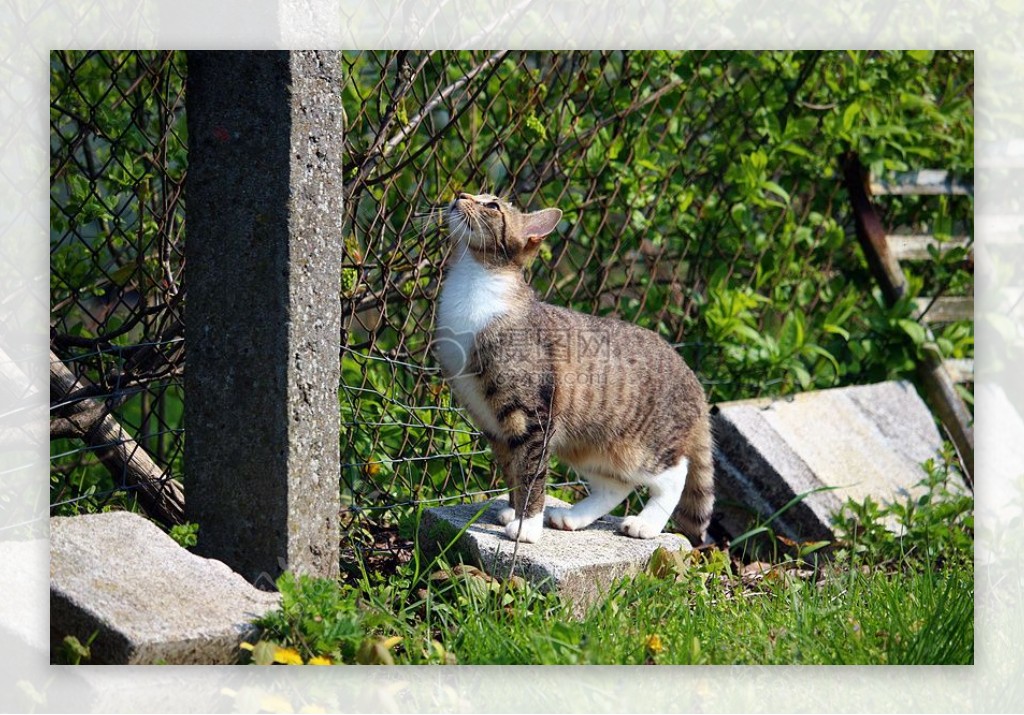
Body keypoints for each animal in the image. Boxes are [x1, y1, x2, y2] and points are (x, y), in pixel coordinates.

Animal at [432, 192, 712, 544]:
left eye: (492, 205)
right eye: (475, 194)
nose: (460, 195)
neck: (476, 279)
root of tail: (693, 378)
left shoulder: (533, 417)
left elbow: (531, 473)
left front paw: (526, 526)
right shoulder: (493, 424)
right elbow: (512, 470)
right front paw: (514, 510)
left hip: (641, 444)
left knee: (675, 474)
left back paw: (645, 524)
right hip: (591, 440)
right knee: (615, 484)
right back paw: (573, 517)